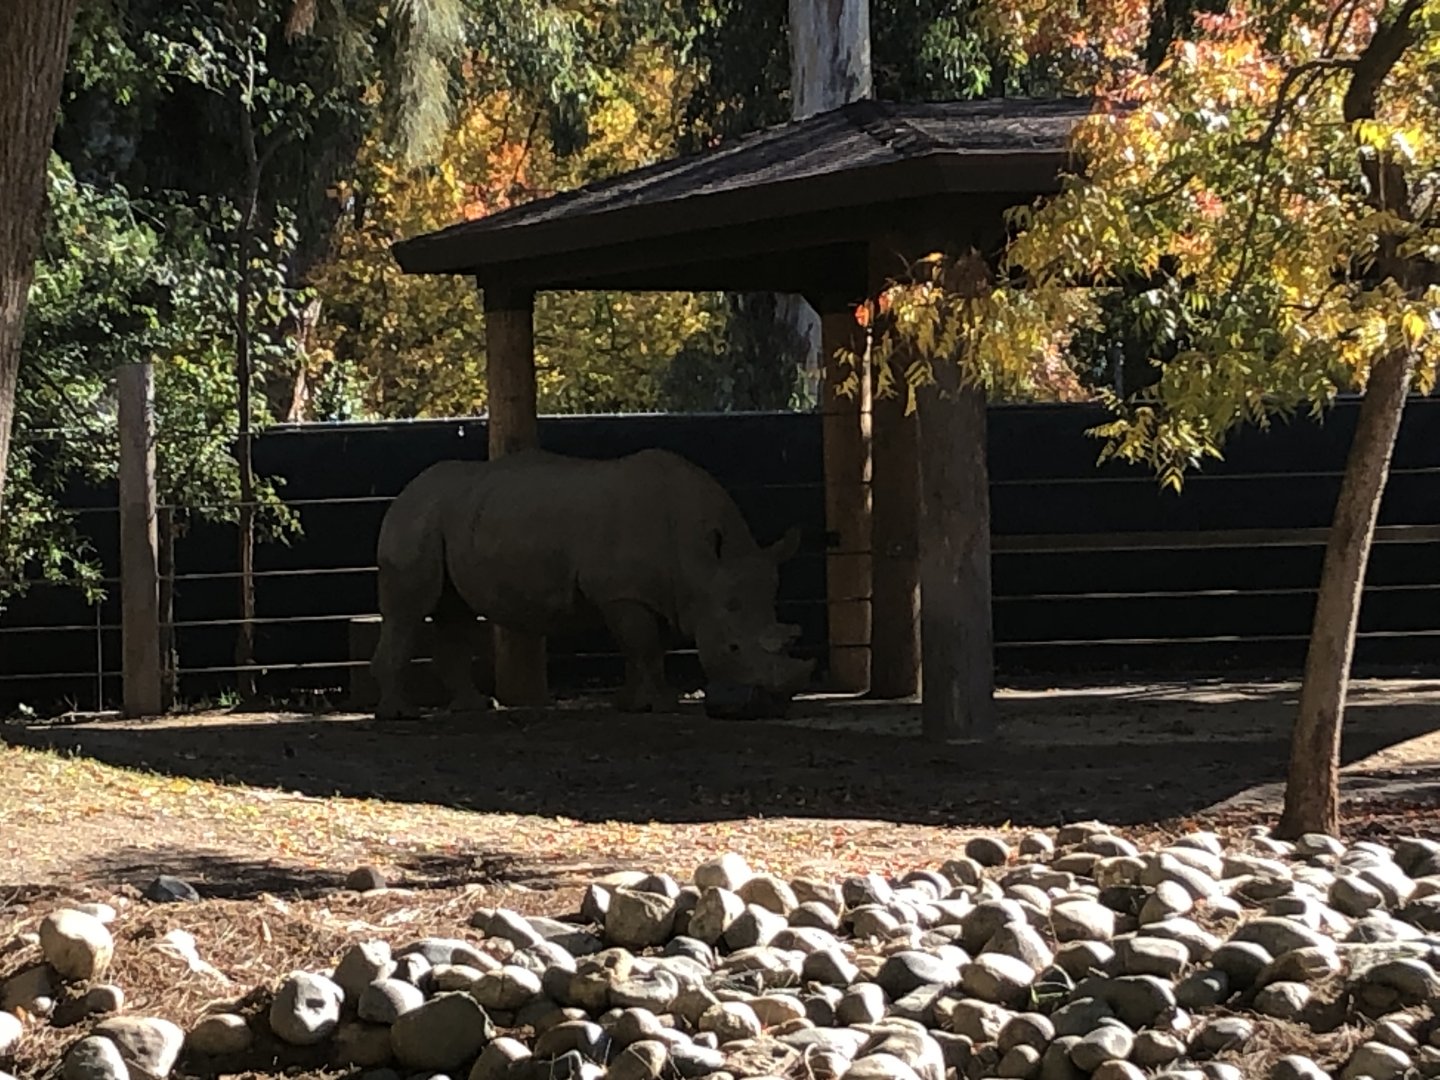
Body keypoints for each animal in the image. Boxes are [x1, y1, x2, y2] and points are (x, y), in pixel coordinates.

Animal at [370, 448, 814, 718]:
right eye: (733, 647)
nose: (778, 701)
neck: (701, 563)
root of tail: (404, 491)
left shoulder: (664, 595)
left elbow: (648, 648)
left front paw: (631, 704)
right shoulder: (621, 593)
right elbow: (644, 647)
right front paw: (663, 704)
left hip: (452, 514)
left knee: (454, 613)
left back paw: (476, 707)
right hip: (416, 519)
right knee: (408, 613)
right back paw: (401, 714)